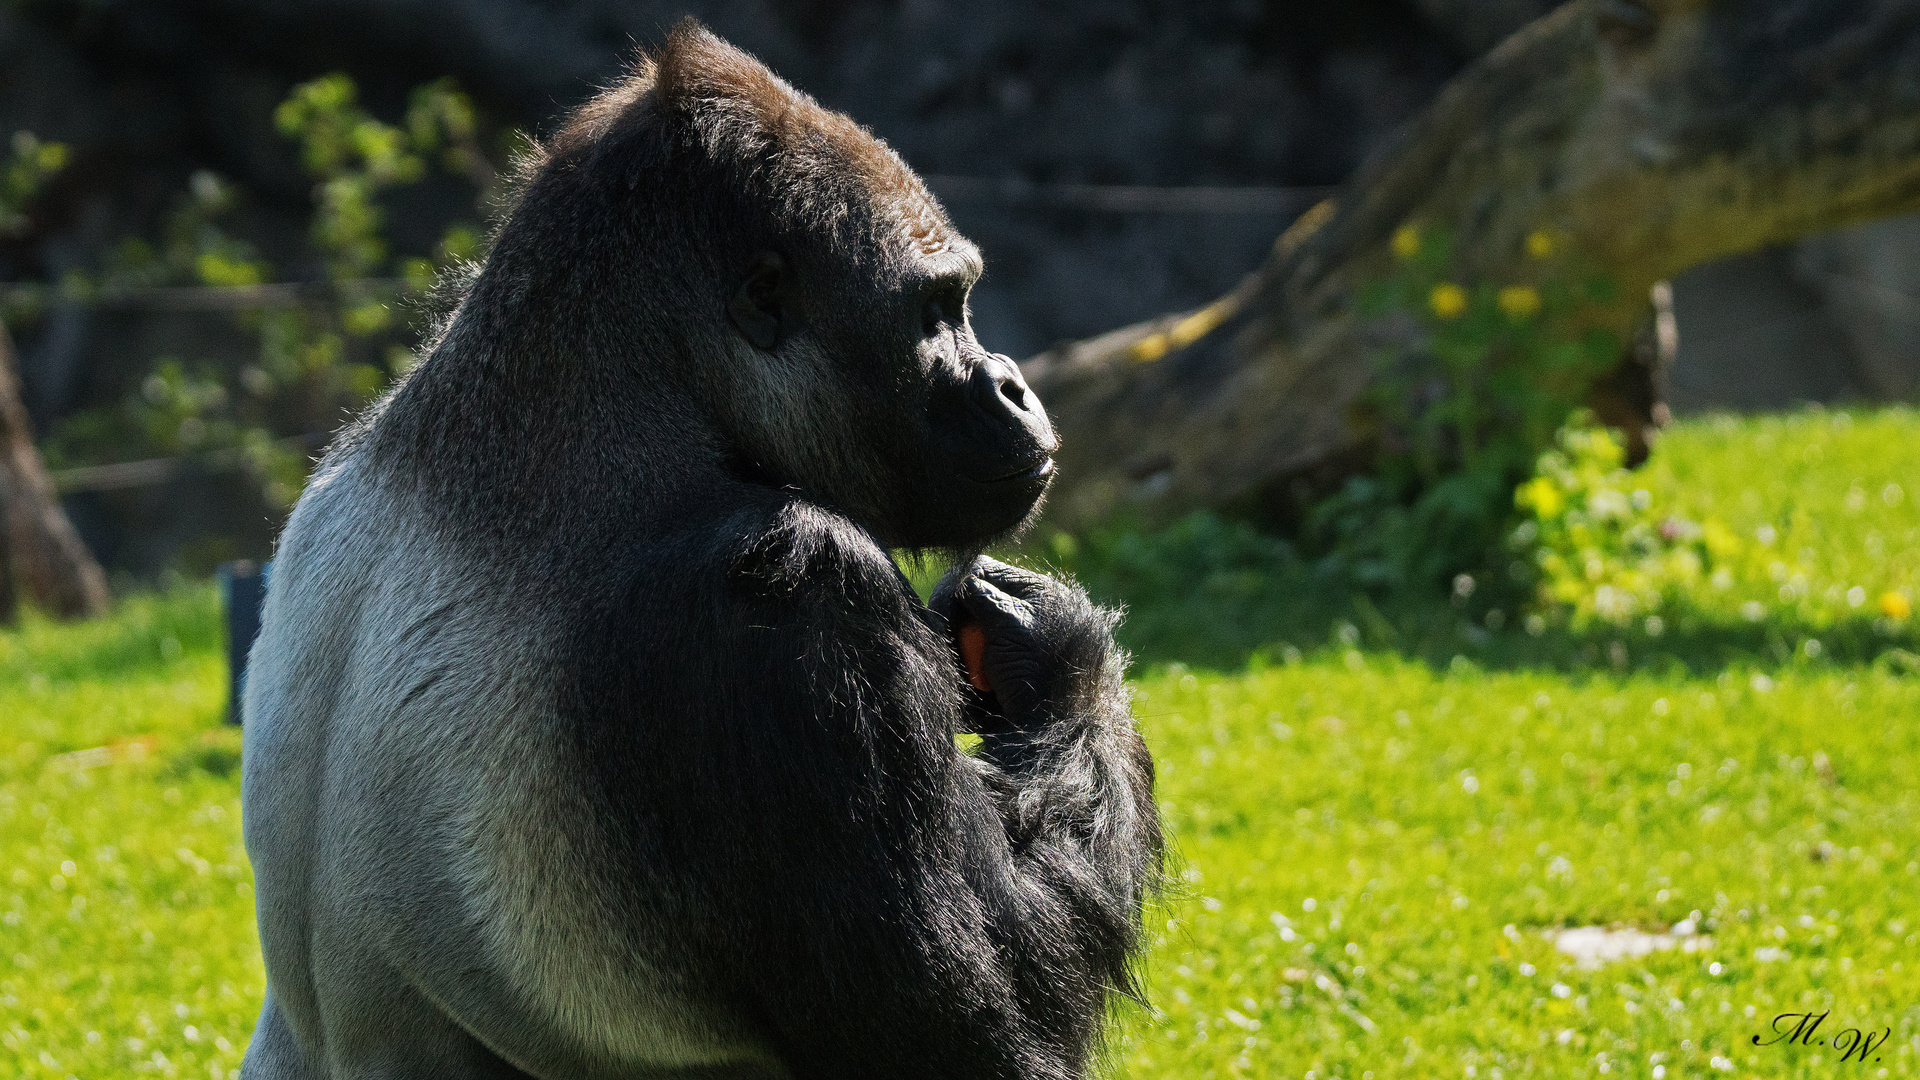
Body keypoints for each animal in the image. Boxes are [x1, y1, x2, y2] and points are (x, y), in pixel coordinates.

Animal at [247, 23, 1159, 1076]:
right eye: (940, 310)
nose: (1012, 382)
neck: (605, 392)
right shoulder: (793, 586)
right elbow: (968, 1036)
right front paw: (1056, 652)